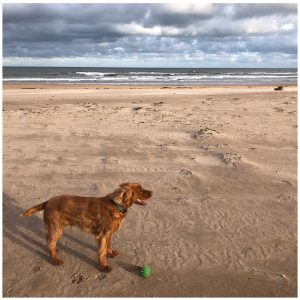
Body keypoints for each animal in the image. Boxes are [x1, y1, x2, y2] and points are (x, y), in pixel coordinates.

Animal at [21, 183, 152, 272]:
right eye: (140, 190)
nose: (152, 192)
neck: (116, 205)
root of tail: (48, 201)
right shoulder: (102, 235)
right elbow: (102, 251)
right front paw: (104, 266)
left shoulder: (108, 234)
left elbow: (108, 245)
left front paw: (110, 253)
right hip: (56, 228)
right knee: (50, 243)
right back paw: (55, 260)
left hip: (57, 228)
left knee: (49, 242)